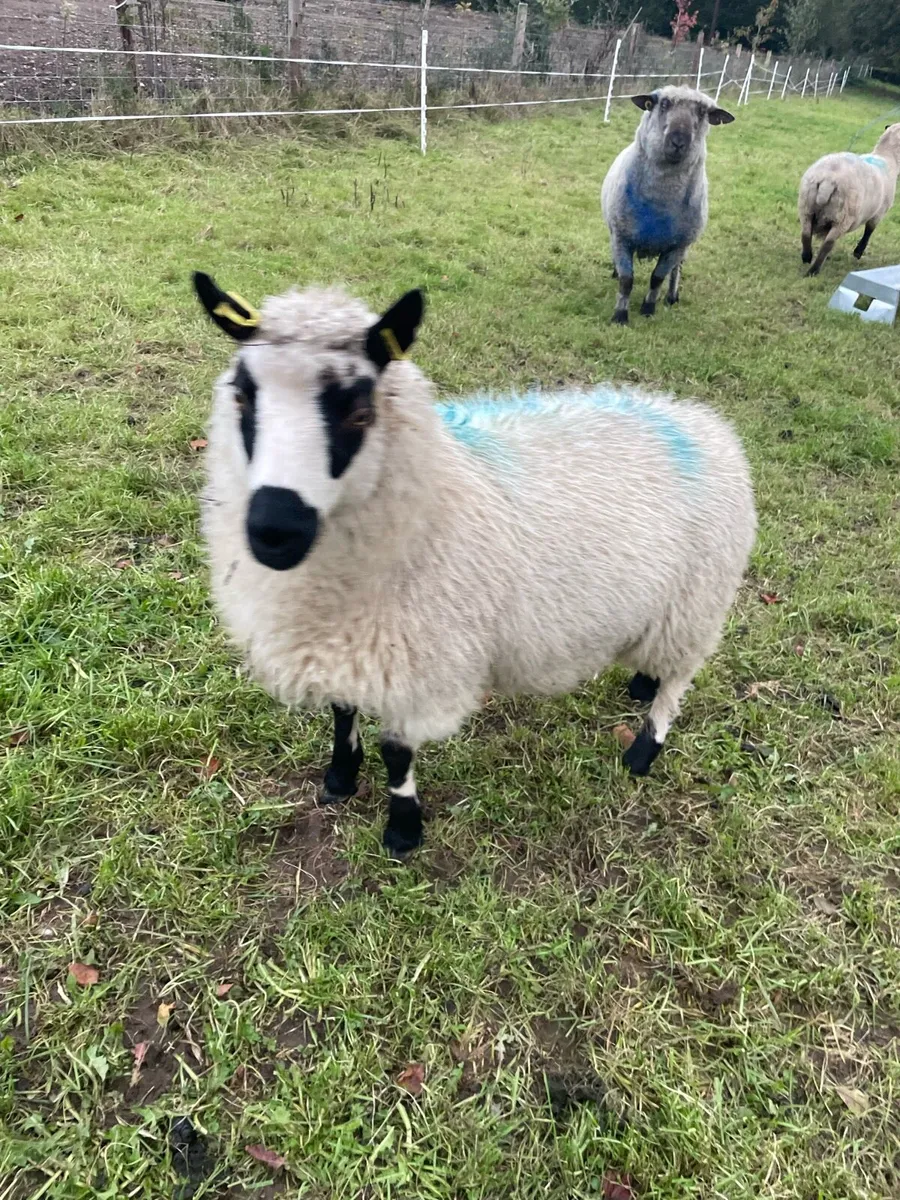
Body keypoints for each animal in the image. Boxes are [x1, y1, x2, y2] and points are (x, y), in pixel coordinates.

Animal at [193, 271, 756, 856]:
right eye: (242, 397)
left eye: (360, 412)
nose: (273, 531)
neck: (436, 496)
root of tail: (705, 421)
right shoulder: (350, 644)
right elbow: (341, 710)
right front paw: (341, 778)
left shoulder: (420, 661)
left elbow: (397, 752)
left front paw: (403, 830)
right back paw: (641, 683)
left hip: (697, 601)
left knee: (681, 677)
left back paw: (644, 749)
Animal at [601, 86, 734, 324]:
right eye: (663, 104)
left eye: (703, 112)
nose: (678, 142)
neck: (660, 204)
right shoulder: (622, 236)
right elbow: (626, 280)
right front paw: (620, 316)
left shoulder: (677, 245)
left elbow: (658, 278)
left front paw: (648, 309)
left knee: (676, 270)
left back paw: (672, 296)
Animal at [798, 123, 900, 276]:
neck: (887, 156)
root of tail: (828, 180)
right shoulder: (879, 213)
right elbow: (869, 231)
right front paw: (858, 252)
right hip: (842, 218)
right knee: (828, 244)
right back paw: (814, 270)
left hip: (806, 207)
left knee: (805, 233)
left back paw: (806, 257)